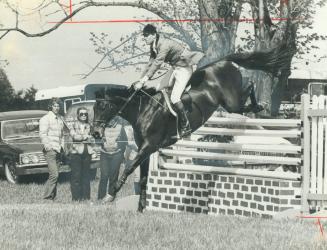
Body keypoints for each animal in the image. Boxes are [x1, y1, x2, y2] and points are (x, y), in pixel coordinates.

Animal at [93, 44, 292, 212]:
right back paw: (256, 107)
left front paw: (110, 196)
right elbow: (142, 178)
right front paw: (141, 208)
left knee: (250, 85)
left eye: (103, 107)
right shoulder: (146, 149)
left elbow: (128, 169)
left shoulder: (149, 146)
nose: (95, 133)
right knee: (244, 99)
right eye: (94, 108)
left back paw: (260, 105)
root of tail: (223, 61)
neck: (144, 110)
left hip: (231, 101)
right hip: (230, 105)